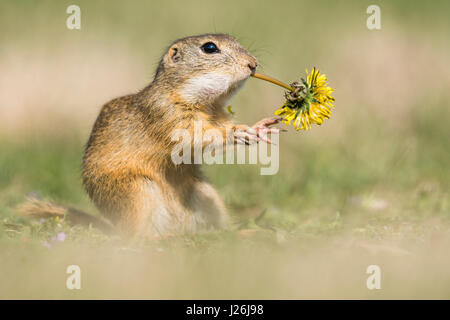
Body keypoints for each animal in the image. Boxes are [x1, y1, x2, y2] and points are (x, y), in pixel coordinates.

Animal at [21, 34, 284, 238]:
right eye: (210, 48)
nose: (253, 64)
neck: (201, 103)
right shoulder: (169, 117)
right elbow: (197, 137)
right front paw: (241, 132)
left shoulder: (218, 115)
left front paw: (261, 127)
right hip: (139, 192)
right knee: (136, 237)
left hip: (206, 195)